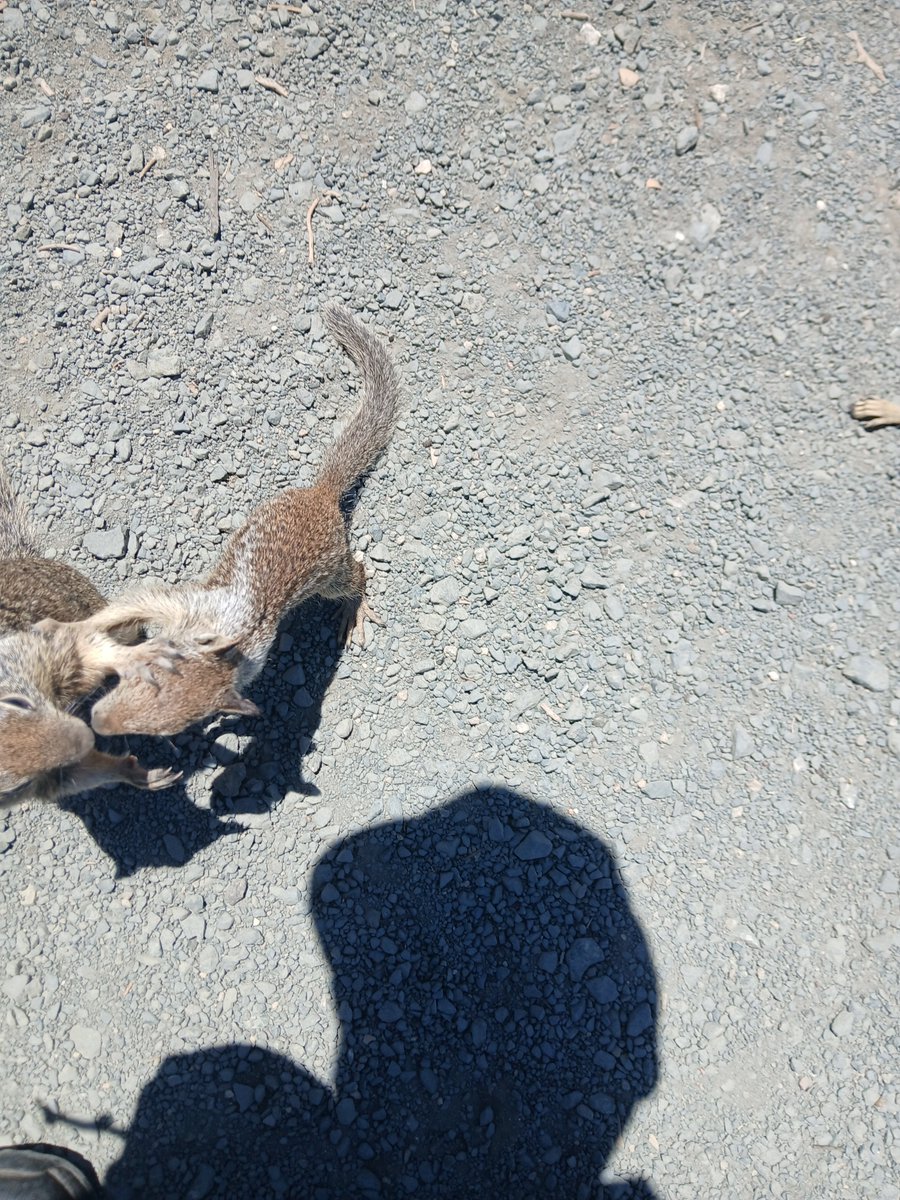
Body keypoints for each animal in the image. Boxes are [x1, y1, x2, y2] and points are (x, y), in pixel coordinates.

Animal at [0, 460, 182, 808]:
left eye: (20, 703)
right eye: (13, 786)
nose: (86, 737)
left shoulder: (46, 645)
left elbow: (89, 646)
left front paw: (140, 656)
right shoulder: (51, 778)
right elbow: (80, 774)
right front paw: (137, 774)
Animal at [73, 302, 401, 739]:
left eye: (168, 729)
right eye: (143, 674)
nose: (98, 722)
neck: (225, 631)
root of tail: (322, 495)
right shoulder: (181, 603)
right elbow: (132, 602)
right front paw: (88, 626)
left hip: (331, 572)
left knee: (357, 574)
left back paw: (356, 609)